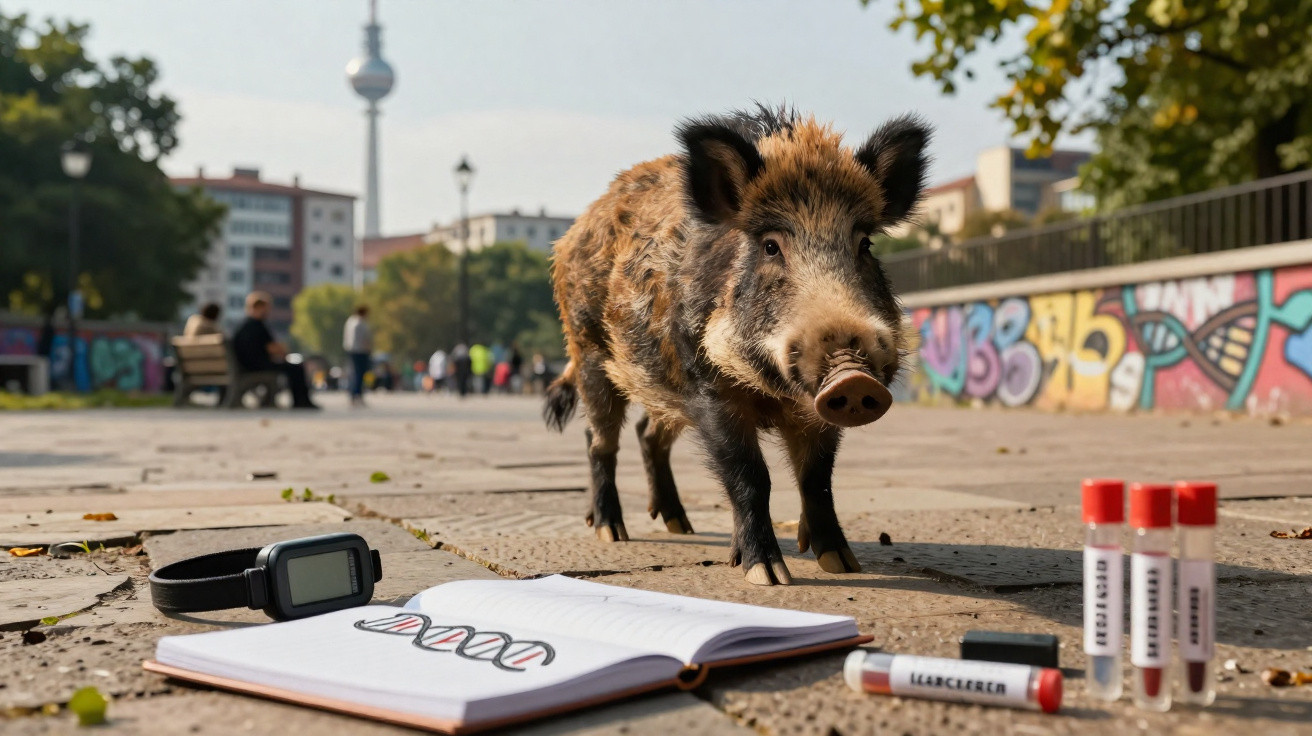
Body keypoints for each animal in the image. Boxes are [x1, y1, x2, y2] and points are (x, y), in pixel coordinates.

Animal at [544, 105, 929, 585]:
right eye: (770, 246)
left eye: (864, 244)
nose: (853, 376)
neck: (773, 393)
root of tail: (570, 236)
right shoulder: (711, 390)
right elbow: (750, 476)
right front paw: (768, 575)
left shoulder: (812, 411)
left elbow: (817, 478)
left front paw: (842, 564)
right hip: (591, 353)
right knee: (600, 441)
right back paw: (612, 533)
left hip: (662, 385)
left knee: (648, 433)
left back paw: (681, 525)